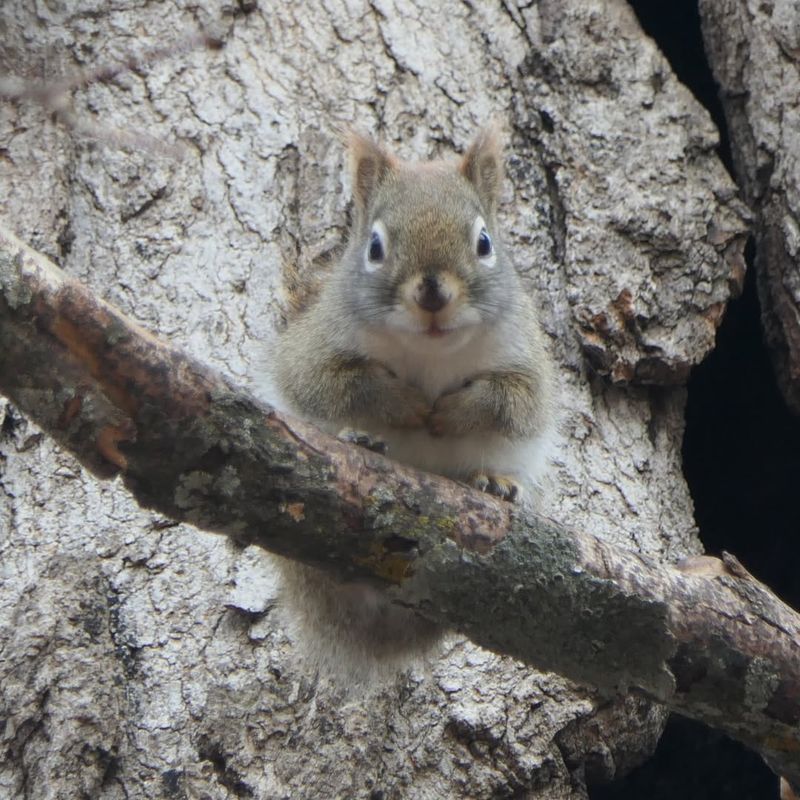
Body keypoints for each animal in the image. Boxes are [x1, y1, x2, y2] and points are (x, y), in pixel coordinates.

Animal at [262, 126, 556, 685]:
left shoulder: (527, 364)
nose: (432, 292)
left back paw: (492, 482)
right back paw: (360, 439)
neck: (430, 349)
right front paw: (404, 405)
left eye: (484, 243)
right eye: (375, 247)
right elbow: (333, 383)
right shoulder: (313, 352)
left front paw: (450, 414)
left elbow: (512, 402)